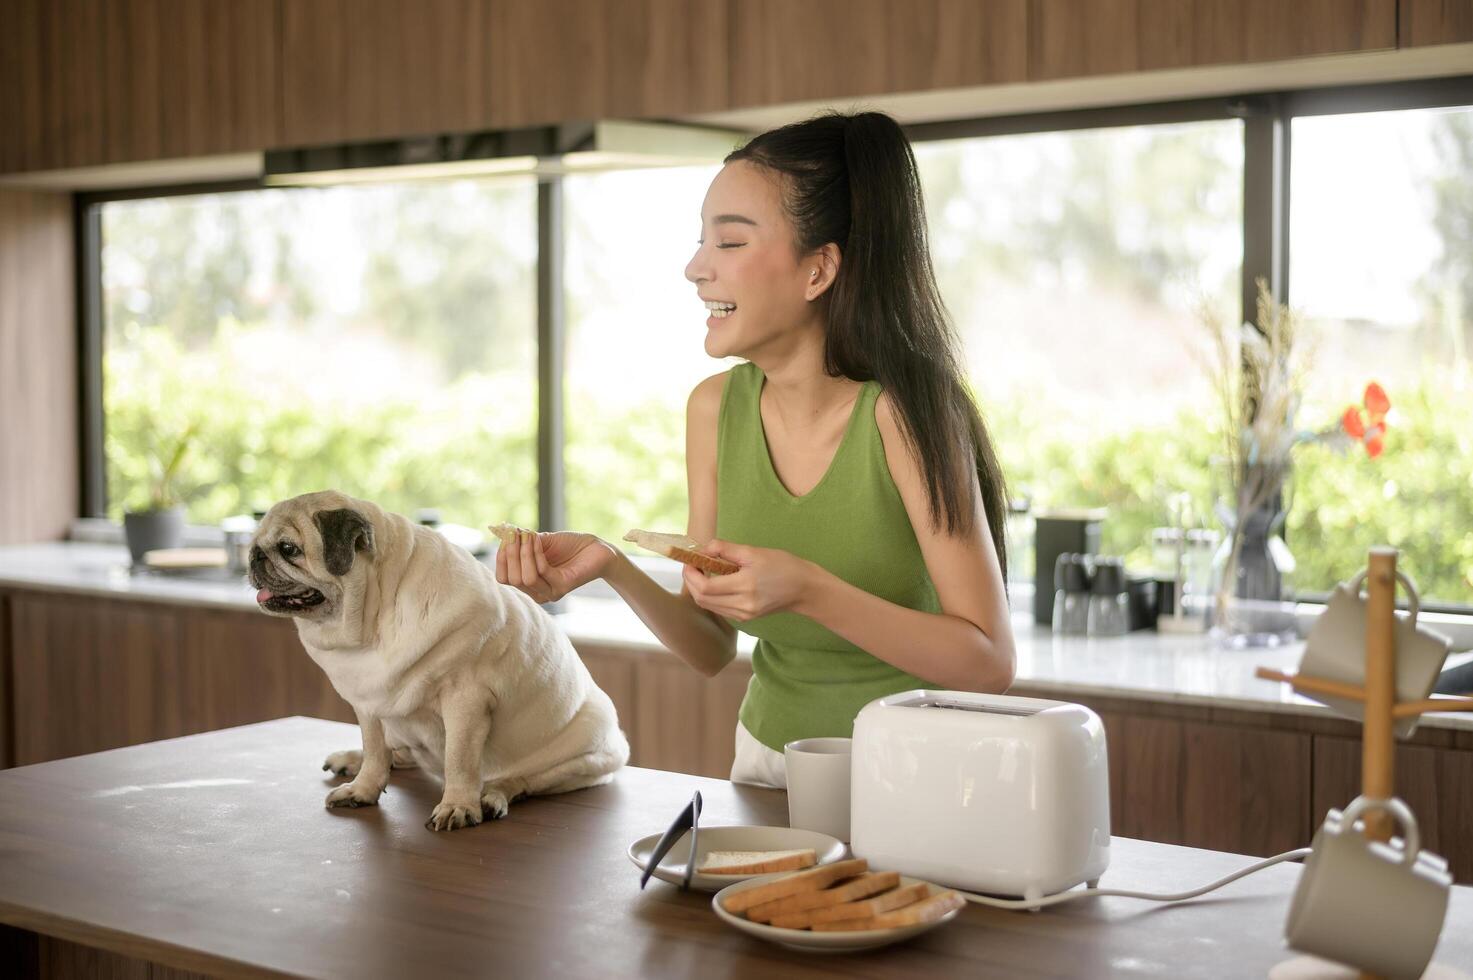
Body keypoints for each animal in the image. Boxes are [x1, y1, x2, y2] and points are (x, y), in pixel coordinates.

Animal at [247, 489, 627, 825]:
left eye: (288, 549)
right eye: (256, 543)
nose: (254, 556)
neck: (375, 617)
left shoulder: (465, 700)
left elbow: (460, 760)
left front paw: (459, 805)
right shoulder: (367, 704)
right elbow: (375, 750)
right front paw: (364, 789)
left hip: (584, 757)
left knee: (521, 780)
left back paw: (492, 795)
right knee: (399, 753)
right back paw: (355, 759)